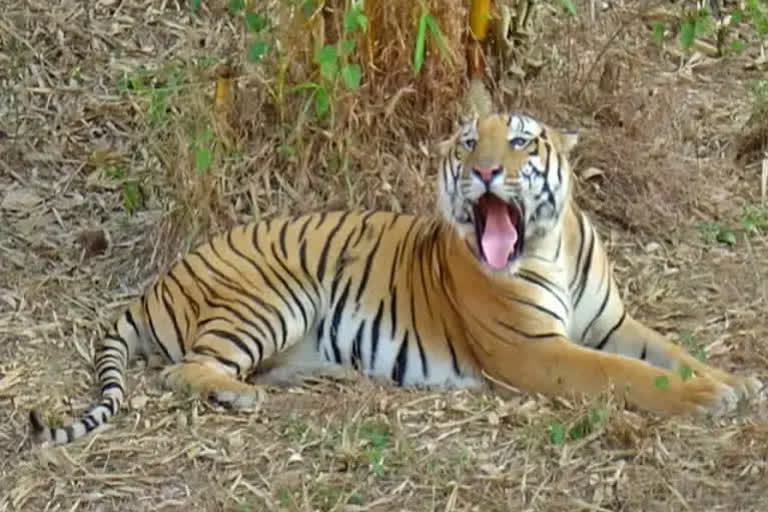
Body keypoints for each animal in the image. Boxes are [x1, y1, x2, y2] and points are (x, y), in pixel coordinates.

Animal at [30, 111, 760, 444]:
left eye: (520, 141)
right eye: (468, 143)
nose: (484, 171)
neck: (547, 244)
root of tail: (158, 282)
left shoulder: (612, 322)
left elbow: (670, 352)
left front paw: (736, 381)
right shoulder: (535, 351)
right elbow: (627, 375)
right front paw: (708, 399)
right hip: (272, 296)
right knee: (182, 371)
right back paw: (242, 397)